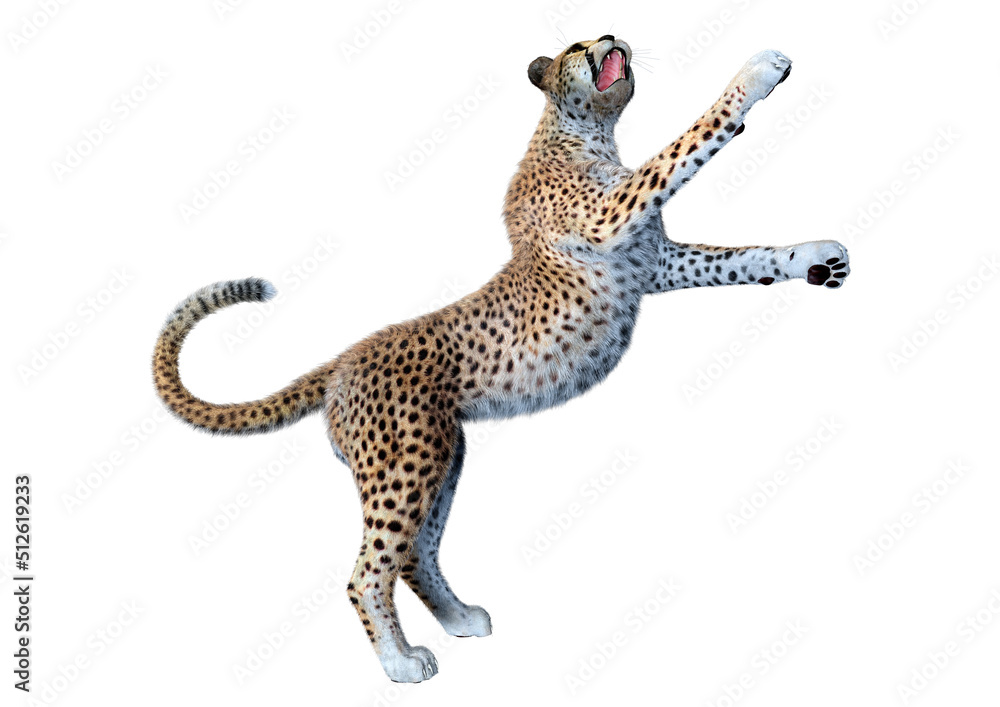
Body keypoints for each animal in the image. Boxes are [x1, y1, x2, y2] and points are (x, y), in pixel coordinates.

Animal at [152, 35, 850, 683]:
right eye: (577, 45)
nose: (612, 35)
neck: (590, 130)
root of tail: (345, 358)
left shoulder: (659, 263)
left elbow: (743, 257)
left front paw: (816, 257)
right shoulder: (613, 216)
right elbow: (689, 141)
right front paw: (756, 75)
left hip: (442, 456)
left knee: (414, 553)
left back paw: (459, 619)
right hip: (404, 466)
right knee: (367, 570)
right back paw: (401, 662)